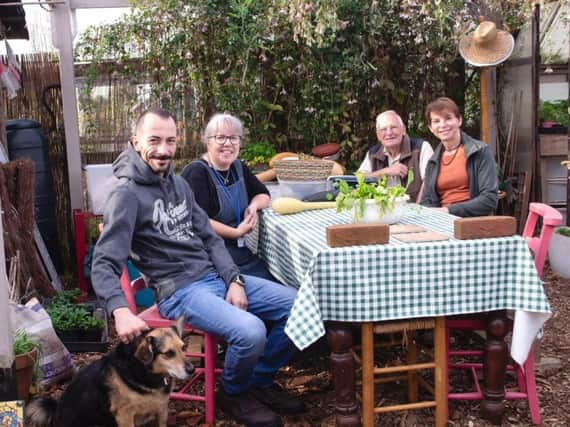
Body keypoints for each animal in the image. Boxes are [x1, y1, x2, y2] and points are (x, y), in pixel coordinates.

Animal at [26, 320, 193, 426]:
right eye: (169, 353)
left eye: (184, 348)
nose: (192, 370)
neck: (145, 372)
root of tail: (56, 412)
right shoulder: (125, 415)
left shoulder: (162, 409)